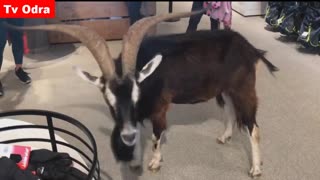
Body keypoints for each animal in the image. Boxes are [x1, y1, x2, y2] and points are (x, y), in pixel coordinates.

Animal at [3, 7, 278, 176]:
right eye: (109, 99)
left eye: (136, 92)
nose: (123, 136)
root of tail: (249, 47)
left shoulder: (160, 108)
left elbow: (156, 136)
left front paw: (154, 162)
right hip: (225, 89)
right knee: (230, 110)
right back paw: (225, 136)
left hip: (243, 87)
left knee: (253, 126)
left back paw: (256, 168)